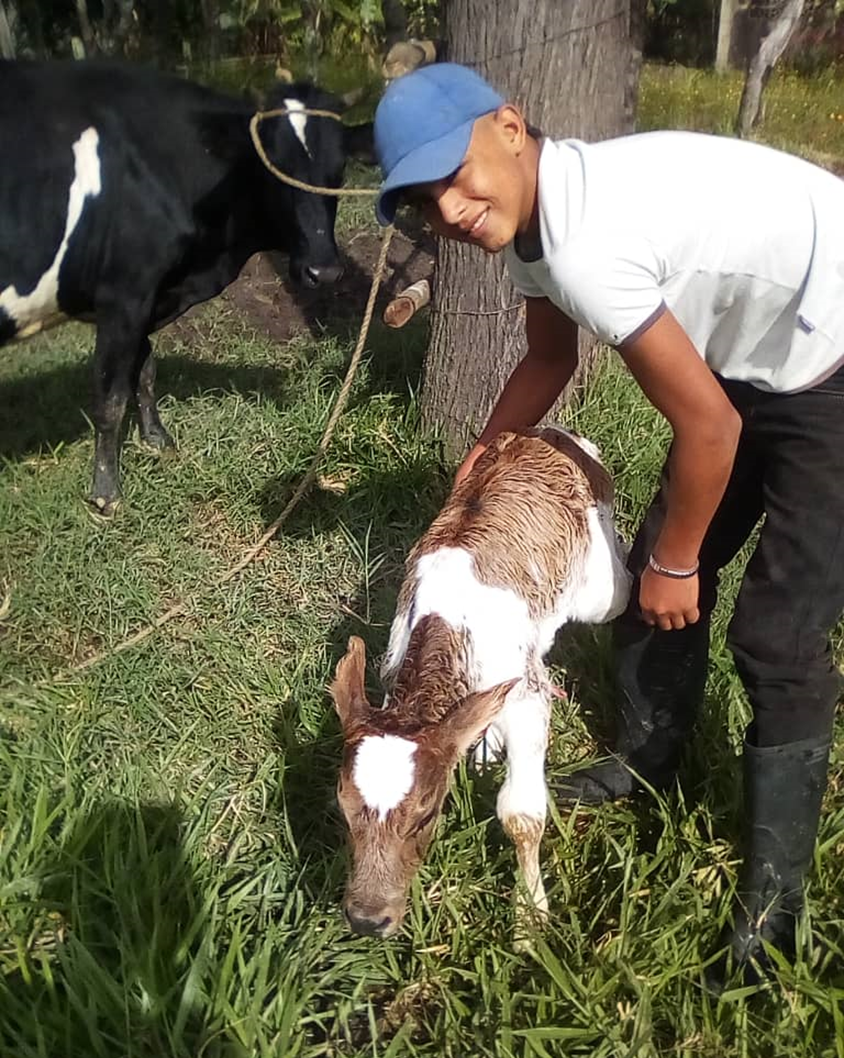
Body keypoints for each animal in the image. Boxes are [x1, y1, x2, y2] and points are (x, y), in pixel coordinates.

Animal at [0, 57, 370, 512]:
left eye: (339, 170)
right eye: (272, 170)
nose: (324, 271)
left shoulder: (151, 293)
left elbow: (144, 370)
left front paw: (158, 441)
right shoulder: (124, 294)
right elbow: (110, 397)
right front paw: (106, 494)